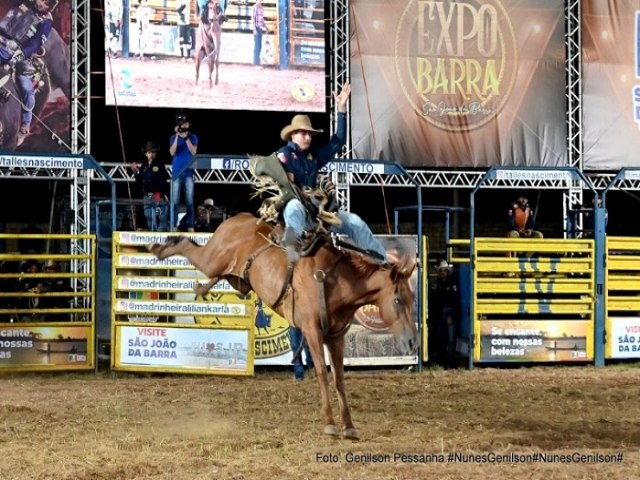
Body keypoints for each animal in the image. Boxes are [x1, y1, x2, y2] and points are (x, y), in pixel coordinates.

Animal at [104, 0, 328, 113]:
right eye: (209, 9)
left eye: (216, 8)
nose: (214, 16)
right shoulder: (204, 47)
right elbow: (203, 66)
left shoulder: (213, 45)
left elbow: (212, 64)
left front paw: (211, 85)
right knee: (204, 65)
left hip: (210, 53)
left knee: (213, 65)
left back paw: (211, 83)